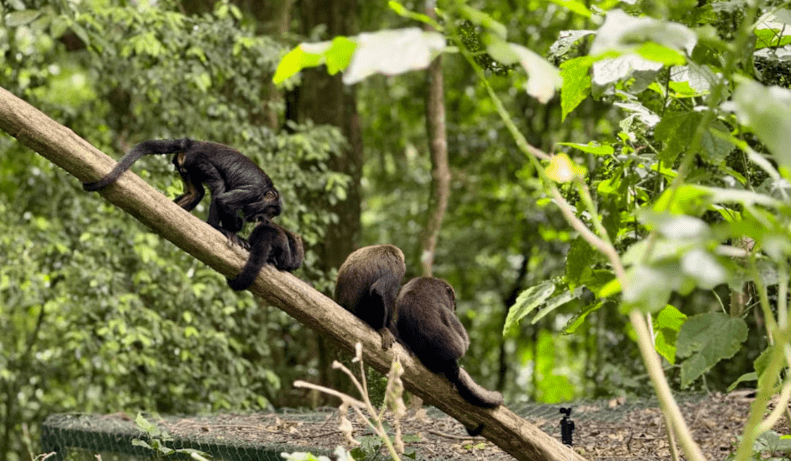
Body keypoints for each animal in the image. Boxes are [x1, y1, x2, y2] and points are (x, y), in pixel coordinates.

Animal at [83, 137, 282, 248]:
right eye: (271, 212)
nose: (266, 219)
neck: (265, 192)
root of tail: (192, 143)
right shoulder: (254, 191)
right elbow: (224, 200)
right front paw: (233, 231)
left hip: (186, 164)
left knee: (197, 193)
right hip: (198, 160)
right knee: (219, 186)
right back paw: (215, 227)